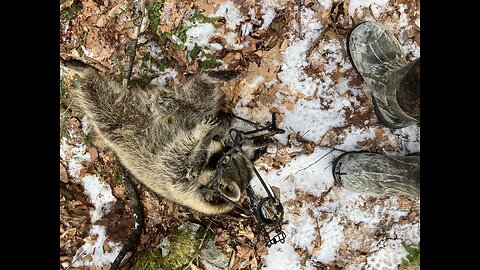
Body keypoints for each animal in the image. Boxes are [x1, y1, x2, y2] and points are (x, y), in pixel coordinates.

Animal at [69, 66, 256, 214]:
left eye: (222, 161)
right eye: (223, 155)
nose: (216, 138)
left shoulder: (176, 180)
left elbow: (178, 151)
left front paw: (198, 135)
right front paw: (207, 135)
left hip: (121, 121)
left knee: (101, 102)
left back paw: (86, 74)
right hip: (182, 108)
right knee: (199, 95)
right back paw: (212, 77)